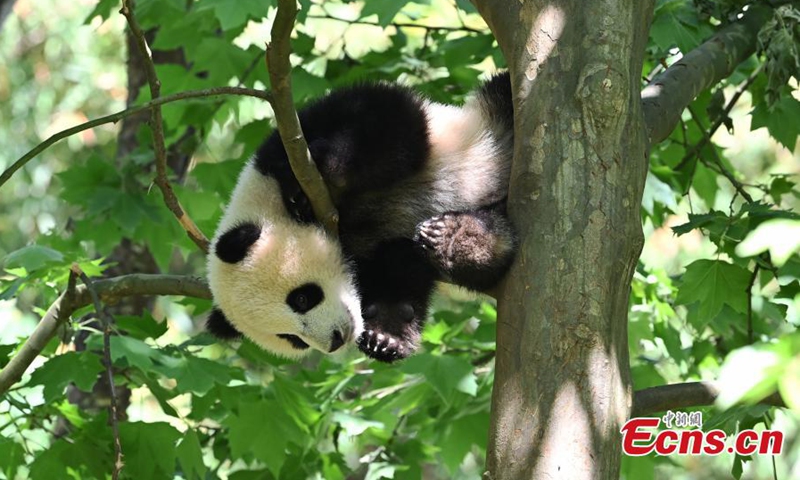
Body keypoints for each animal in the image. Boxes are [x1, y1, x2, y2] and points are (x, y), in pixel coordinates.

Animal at [206, 72, 516, 362]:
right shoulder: (381, 251)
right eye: (291, 338)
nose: (335, 340)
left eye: (301, 298)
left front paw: (320, 175)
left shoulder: (295, 135)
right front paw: (385, 336)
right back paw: (463, 240)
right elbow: (399, 275)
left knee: (502, 93)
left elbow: (386, 119)